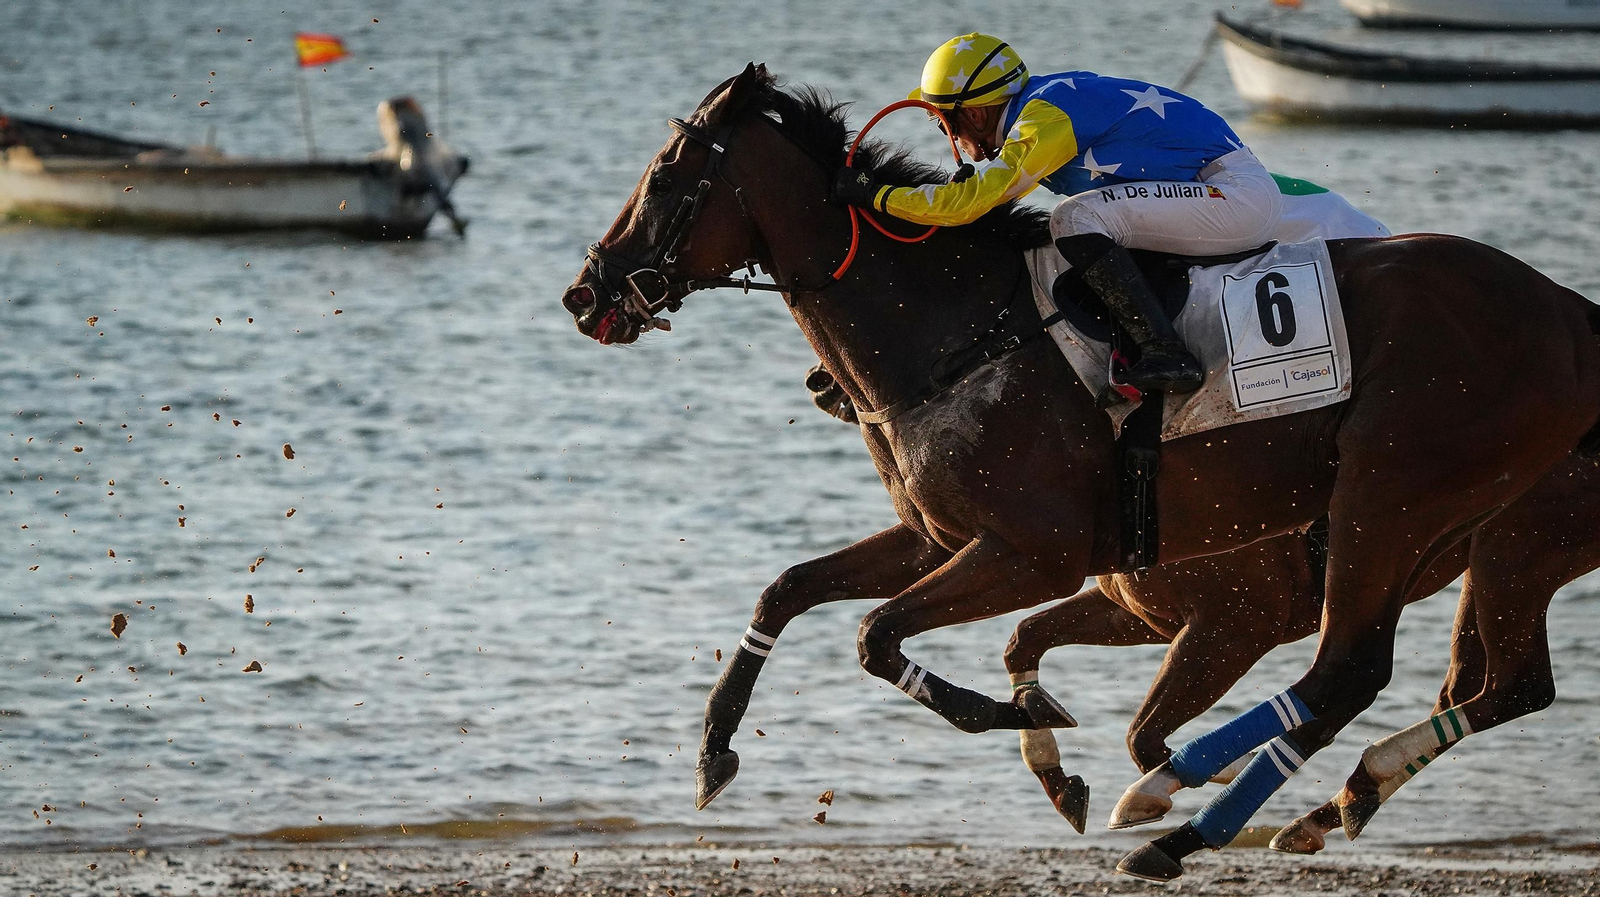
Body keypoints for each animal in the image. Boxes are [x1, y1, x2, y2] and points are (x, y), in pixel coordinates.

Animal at [559, 64, 1600, 879]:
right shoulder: (941, 534)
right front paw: (712, 754)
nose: (585, 291)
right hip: (1458, 530)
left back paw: (1177, 816)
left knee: (1351, 669)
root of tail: (1566, 309)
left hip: (1397, 499)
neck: (961, 331)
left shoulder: (1037, 553)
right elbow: (788, 589)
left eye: (665, 176)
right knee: (1464, 682)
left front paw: (1015, 719)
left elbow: (876, 636)